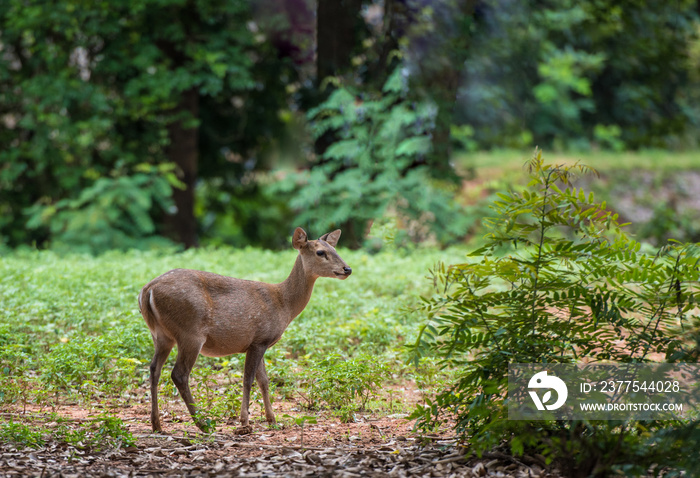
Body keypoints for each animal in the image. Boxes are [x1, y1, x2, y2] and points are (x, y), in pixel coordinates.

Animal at [137, 228, 352, 434]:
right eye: (320, 252)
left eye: (335, 249)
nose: (347, 269)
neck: (284, 304)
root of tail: (148, 290)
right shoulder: (258, 340)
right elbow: (248, 380)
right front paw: (245, 422)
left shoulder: (261, 342)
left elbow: (264, 380)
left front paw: (273, 421)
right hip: (190, 332)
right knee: (179, 374)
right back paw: (203, 424)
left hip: (160, 335)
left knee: (154, 369)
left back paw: (157, 425)